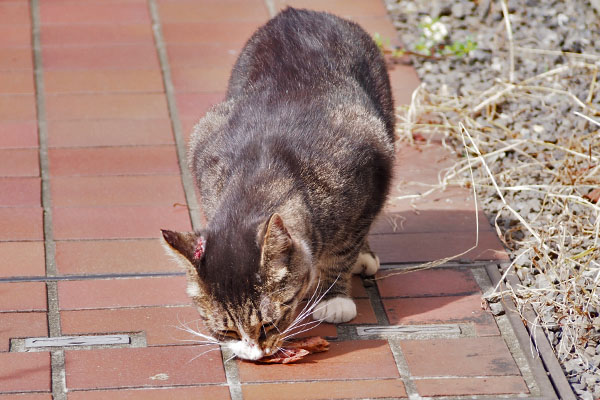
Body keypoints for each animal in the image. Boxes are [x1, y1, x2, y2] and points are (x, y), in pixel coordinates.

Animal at [161, 7, 394, 360]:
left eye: (268, 324)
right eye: (227, 331)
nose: (255, 355)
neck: (259, 176)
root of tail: (296, 12)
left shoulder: (366, 172)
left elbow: (344, 248)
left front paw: (335, 297)